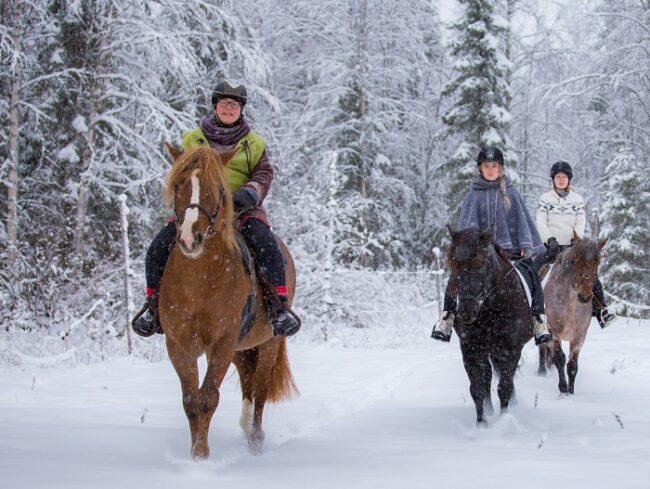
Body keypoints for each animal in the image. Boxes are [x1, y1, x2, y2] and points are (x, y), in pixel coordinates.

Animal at [157, 144, 298, 458]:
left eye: (218, 189)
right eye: (179, 184)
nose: (190, 238)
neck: (198, 281)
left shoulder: (221, 342)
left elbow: (208, 397)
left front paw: (201, 455)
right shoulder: (178, 345)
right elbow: (190, 400)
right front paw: (195, 452)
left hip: (267, 343)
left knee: (259, 388)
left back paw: (255, 438)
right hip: (240, 348)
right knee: (247, 380)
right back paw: (245, 428)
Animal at [446, 227, 532, 426]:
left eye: (482, 264)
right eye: (454, 265)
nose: (466, 312)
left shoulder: (512, 349)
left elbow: (504, 386)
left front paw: (504, 420)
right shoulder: (470, 349)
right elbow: (477, 388)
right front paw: (482, 424)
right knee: (486, 378)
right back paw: (490, 410)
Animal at [536, 234, 604, 394]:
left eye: (597, 262)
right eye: (574, 261)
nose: (585, 296)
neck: (570, 306)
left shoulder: (579, 337)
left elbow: (572, 366)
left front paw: (571, 392)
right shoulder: (554, 333)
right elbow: (560, 359)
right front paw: (563, 390)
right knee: (542, 348)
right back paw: (542, 371)